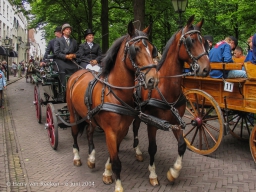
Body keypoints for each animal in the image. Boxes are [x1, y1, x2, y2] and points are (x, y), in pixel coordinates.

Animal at [66, 21, 158, 192]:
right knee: (74, 133)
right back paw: (77, 157)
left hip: (89, 116)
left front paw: (107, 174)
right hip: (73, 113)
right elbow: (116, 162)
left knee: (89, 132)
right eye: (136, 49)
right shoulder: (110, 131)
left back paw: (91, 159)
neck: (116, 93)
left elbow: (112, 155)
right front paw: (118, 186)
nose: (153, 80)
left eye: (151, 48)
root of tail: (77, 74)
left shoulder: (121, 130)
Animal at [132, 15, 210, 186]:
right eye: (191, 41)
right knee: (134, 128)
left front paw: (173, 173)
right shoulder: (152, 123)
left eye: (204, 42)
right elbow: (153, 148)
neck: (166, 89)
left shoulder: (176, 122)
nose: (206, 68)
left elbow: (182, 145)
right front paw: (153, 175)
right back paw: (137, 151)